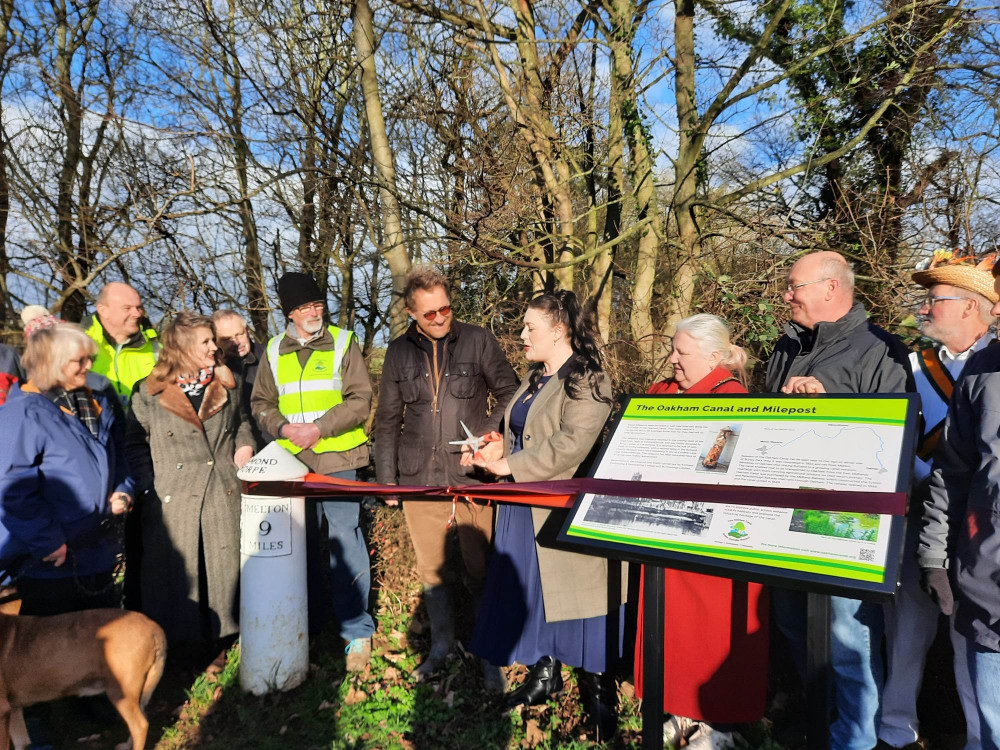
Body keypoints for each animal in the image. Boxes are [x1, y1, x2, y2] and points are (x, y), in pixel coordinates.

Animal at [0, 612, 166, 750]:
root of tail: (153, 627)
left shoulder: (3, 710)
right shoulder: (14, 709)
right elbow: (22, 742)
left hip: (120, 693)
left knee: (140, 726)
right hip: (136, 693)